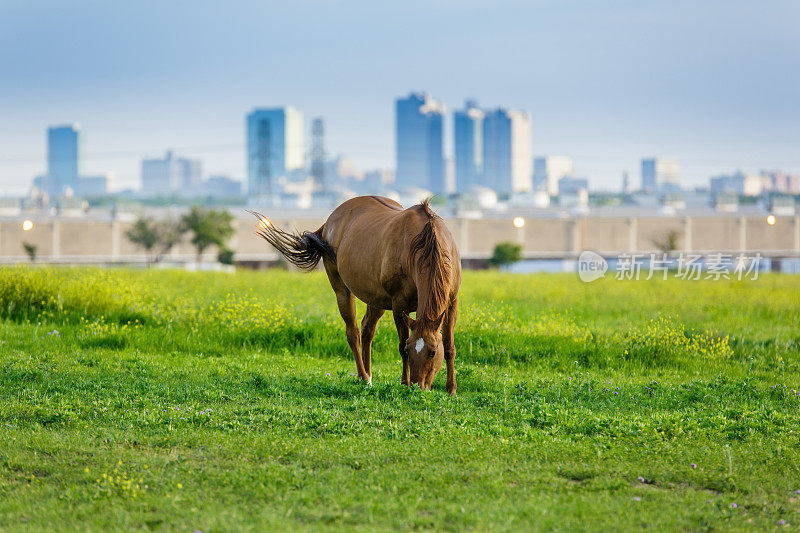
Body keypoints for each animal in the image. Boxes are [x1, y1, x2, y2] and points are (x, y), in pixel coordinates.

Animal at [250, 195, 462, 394]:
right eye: (410, 350)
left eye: (433, 352)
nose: (418, 387)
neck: (423, 243)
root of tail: (329, 221)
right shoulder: (399, 305)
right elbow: (400, 343)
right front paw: (404, 383)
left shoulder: (451, 302)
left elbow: (449, 346)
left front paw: (451, 389)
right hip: (342, 291)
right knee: (353, 333)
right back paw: (364, 377)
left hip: (376, 299)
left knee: (367, 330)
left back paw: (369, 375)